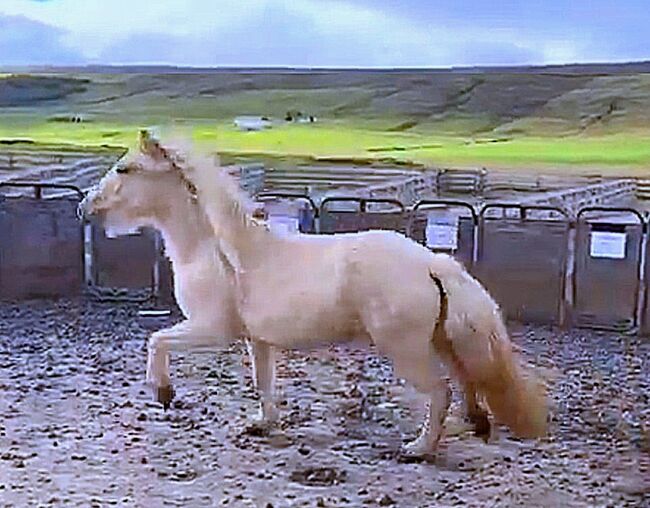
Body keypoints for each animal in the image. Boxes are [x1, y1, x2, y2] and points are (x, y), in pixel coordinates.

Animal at [78, 130, 548, 458]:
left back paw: (418, 449)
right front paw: (261, 425)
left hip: (406, 349)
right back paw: (472, 427)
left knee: (440, 391)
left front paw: (163, 393)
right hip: (443, 340)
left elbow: (156, 341)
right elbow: (263, 382)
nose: (84, 206)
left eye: (125, 169)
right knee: (468, 381)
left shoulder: (210, 329)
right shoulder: (257, 340)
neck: (217, 250)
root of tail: (433, 262)